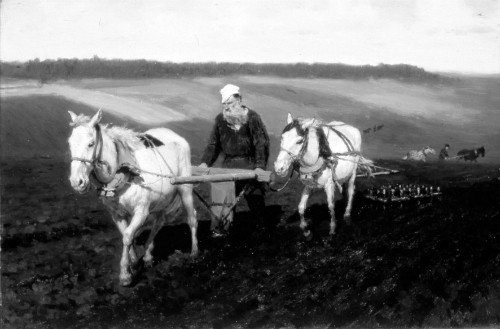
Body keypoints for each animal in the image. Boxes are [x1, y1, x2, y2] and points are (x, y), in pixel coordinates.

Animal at [67, 109, 199, 284]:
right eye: (70, 143)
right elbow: (126, 235)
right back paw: (148, 256)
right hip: (162, 198)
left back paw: (194, 252)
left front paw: (125, 274)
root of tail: (176, 136)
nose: (77, 182)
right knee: (159, 223)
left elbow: (128, 236)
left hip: (185, 189)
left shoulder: (141, 212)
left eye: (91, 143)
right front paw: (134, 261)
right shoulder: (116, 214)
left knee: (192, 218)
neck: (125, 169)